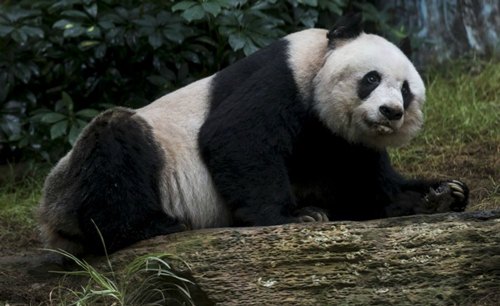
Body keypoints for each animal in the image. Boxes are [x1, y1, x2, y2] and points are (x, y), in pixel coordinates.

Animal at [38, 15, 468, 256]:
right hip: (78, 179)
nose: (391, 112)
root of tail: (52, 223)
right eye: (372, 79)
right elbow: (236, 139)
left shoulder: (340, 141)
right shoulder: (282, 77)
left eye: (407, 91)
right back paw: (151, 226)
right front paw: (297, 216)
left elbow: (368, 184)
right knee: (115, 147)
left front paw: (441, 194)